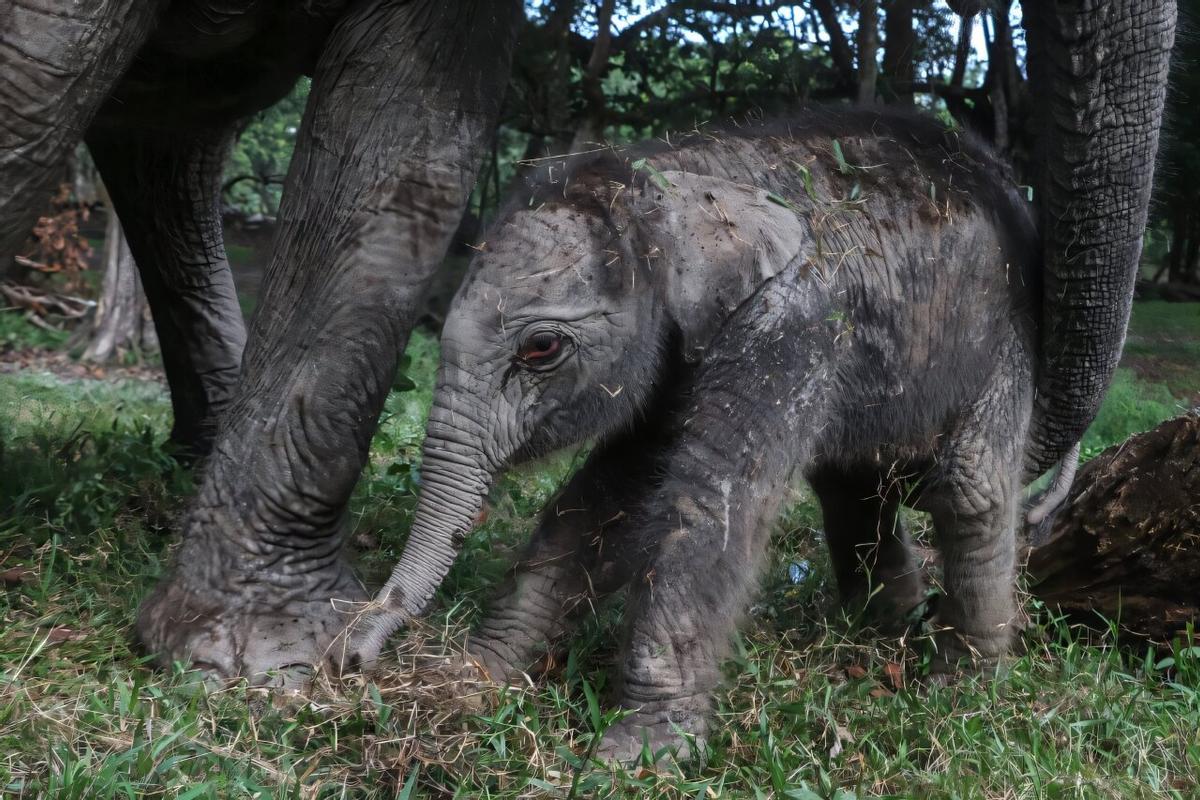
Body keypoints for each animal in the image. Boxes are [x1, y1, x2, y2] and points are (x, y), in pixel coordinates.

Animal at [348, 109, 1051, 762]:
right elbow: (613, 499)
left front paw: (635, 758)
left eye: (541, 347)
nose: (353, 657)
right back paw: (884, 631)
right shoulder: (675, 355)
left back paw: (964, 690)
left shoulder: (795, 316)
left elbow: (709, 502)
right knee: (854, 482)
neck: (676, 176)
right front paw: (478, 677)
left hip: (1008, 331)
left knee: (971, 485)